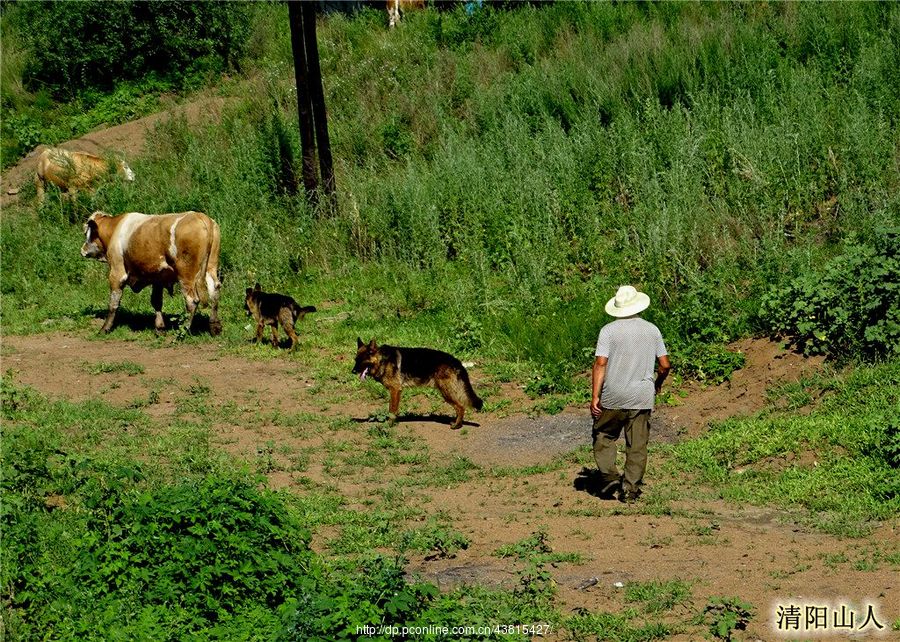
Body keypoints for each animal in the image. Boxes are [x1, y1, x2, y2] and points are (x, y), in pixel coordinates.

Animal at [81, 210, 222, 336]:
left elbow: (113, 303)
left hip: (186, 275)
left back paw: (183, 331)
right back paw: (215, 327)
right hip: (210, 267)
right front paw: (160, 328)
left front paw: (105, 328)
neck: (115, 228)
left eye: (88, 233)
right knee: (214, 291)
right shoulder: (158, 277)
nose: (82, 250)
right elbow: (156, 301)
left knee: (192, 300)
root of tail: (201, 216)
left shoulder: (117, 272)